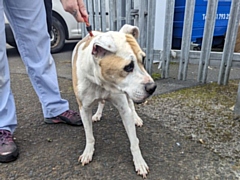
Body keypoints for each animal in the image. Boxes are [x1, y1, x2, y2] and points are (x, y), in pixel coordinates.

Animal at [71, 23, 157, 177]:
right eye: (128, 66)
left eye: (143, 60)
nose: (153, 87)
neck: (101, 82)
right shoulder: (84, 109)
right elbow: (89, 135)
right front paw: (88, 152)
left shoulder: (124, 109)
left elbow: (134, 141)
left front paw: (139, 162)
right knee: (102, 102)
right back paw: (98, 114)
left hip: (128, 96)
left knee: (131, 106)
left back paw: (136, 118)